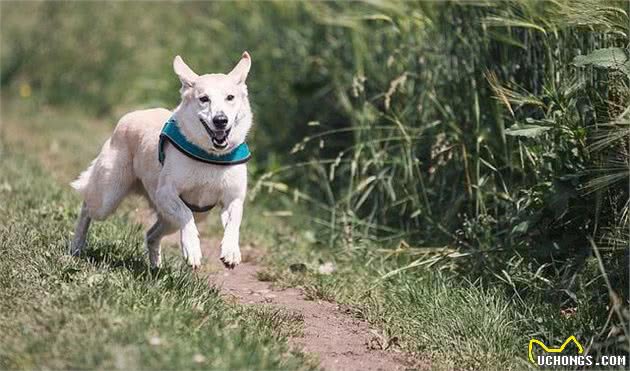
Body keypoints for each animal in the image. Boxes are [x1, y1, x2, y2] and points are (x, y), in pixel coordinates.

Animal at [69, 51, 254, 270]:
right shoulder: (166, 193)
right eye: (204, 99)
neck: (210, 156)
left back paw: (156, 268)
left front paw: (231, 252)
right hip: (108, 197)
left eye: (230, 97)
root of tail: (130, 116)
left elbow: (234, 222)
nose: (220, 120)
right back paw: (76, 246)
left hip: (179, 217)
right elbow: (185, 214)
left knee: (151, 234)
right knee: (87, 207)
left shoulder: (233, 198)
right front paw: (192, 250)